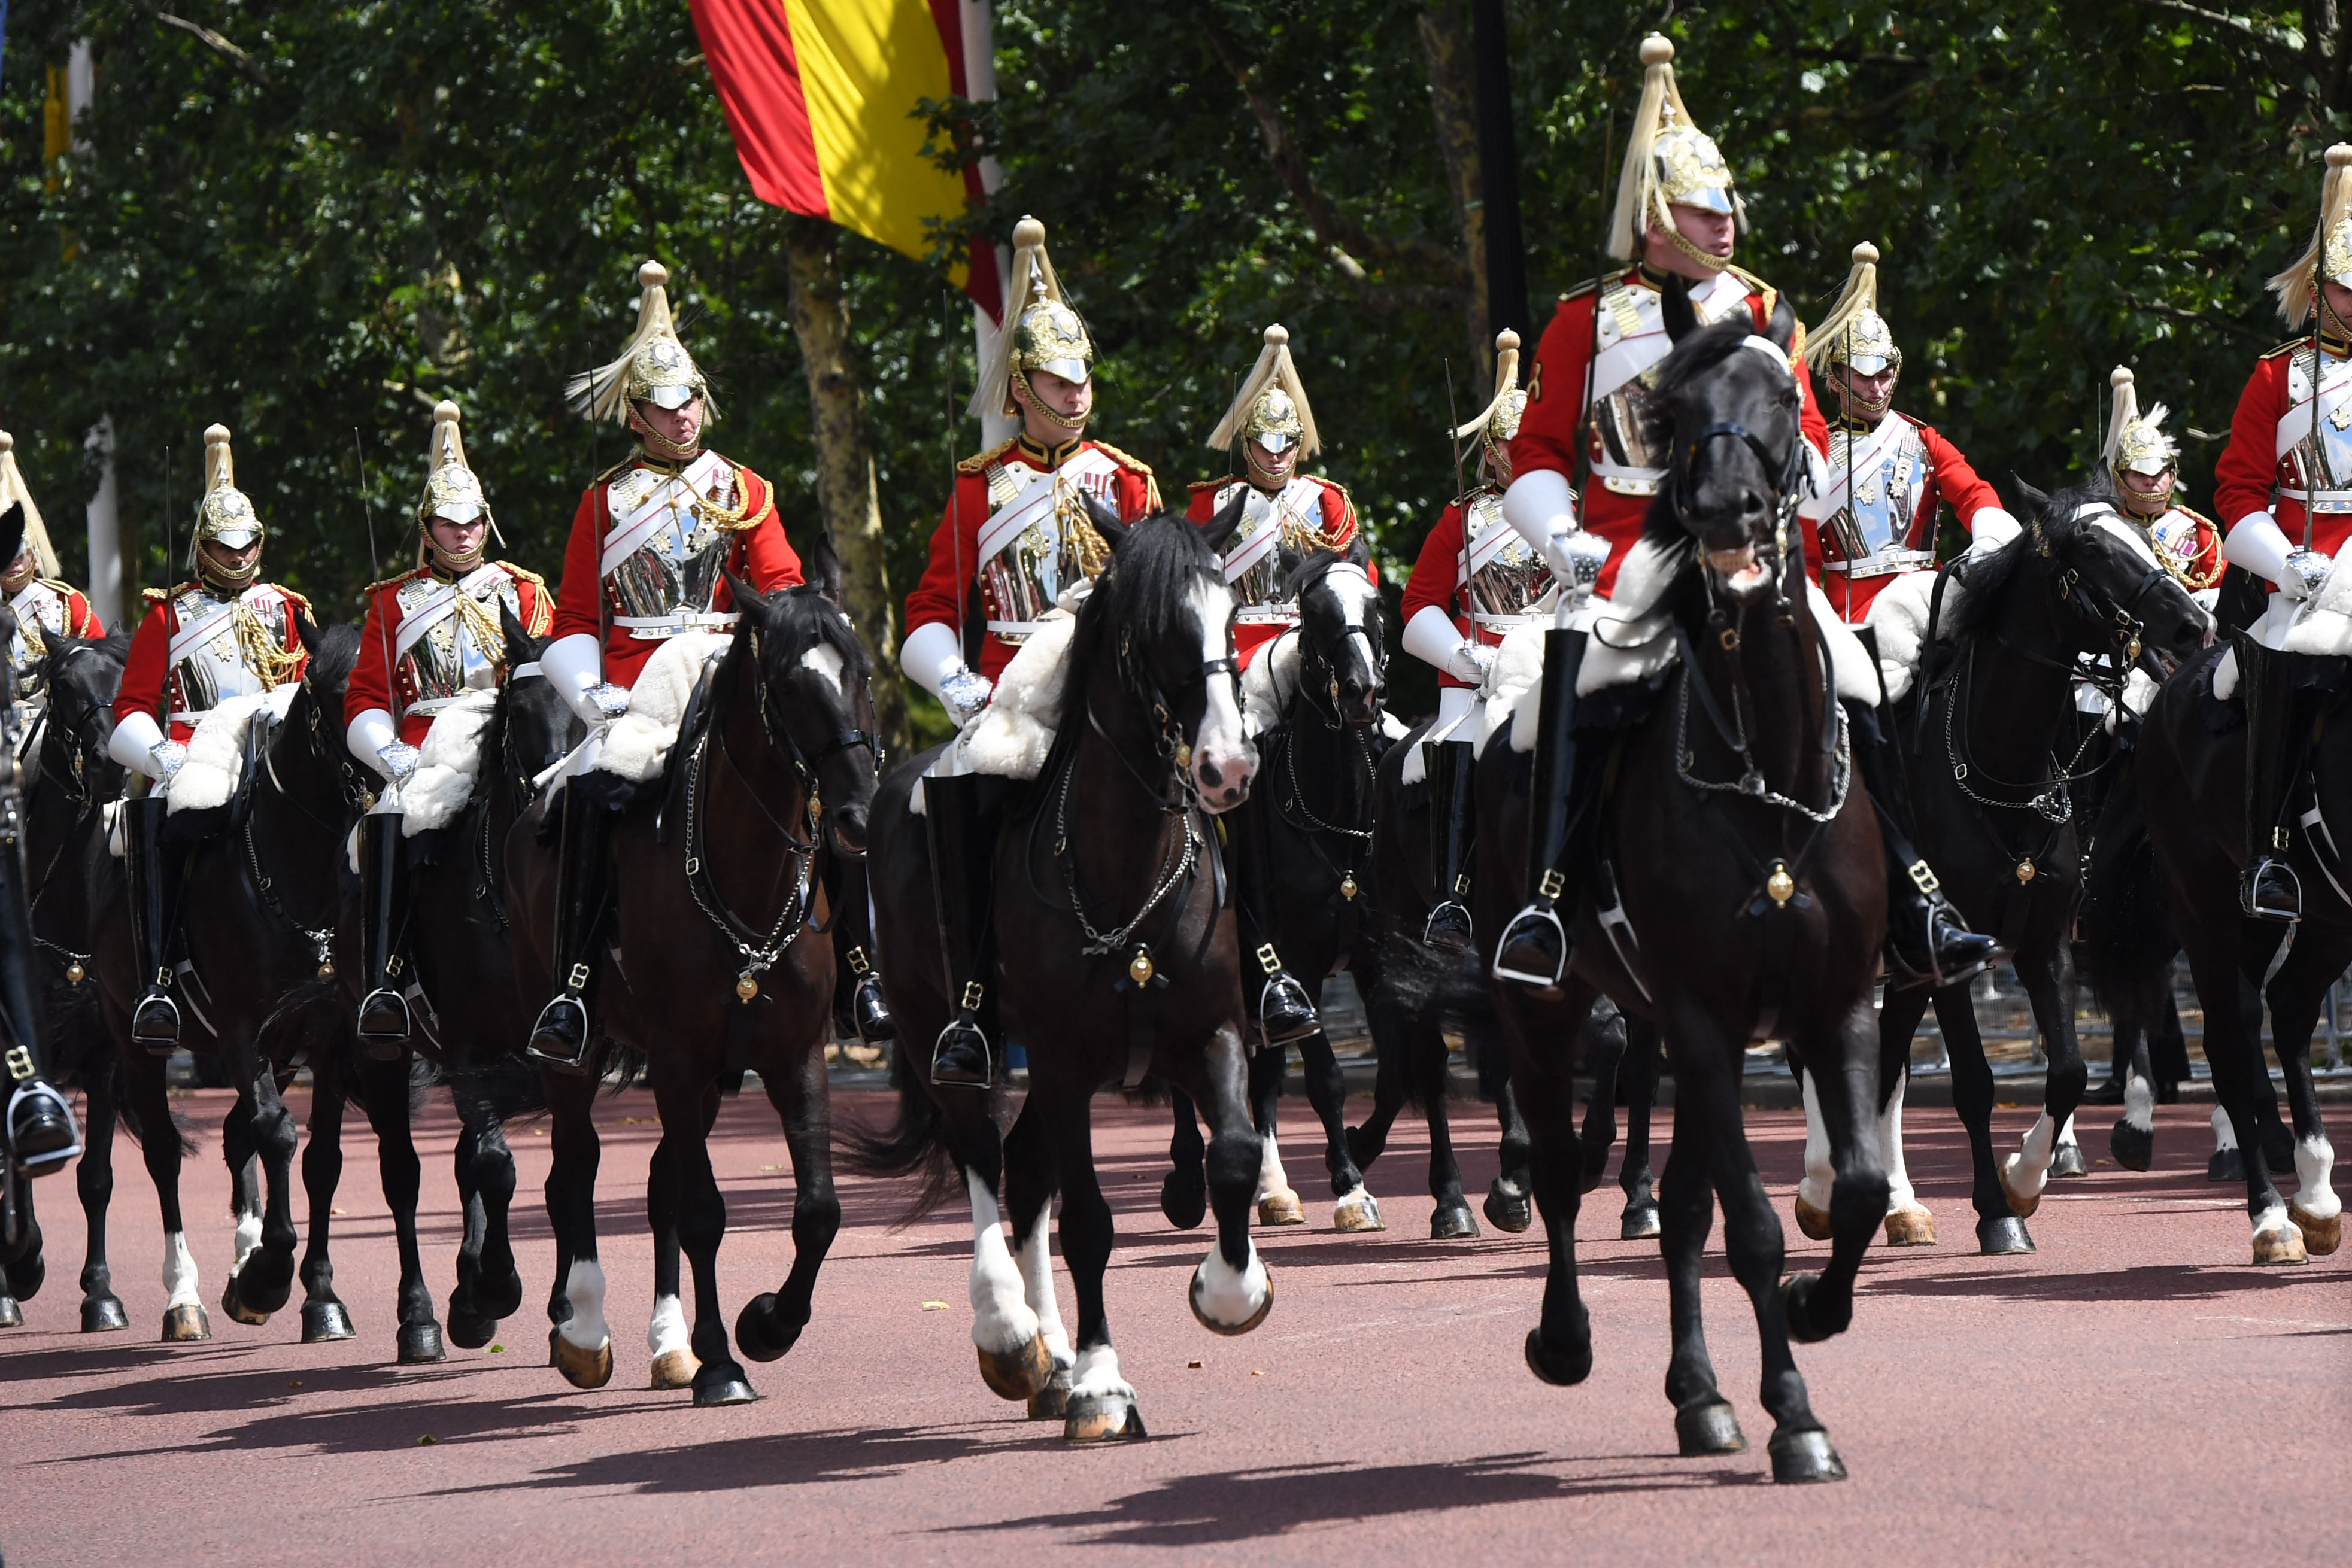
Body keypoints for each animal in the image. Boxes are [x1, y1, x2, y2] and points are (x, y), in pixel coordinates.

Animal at [510, 573, 879, 1401]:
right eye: (789, 685)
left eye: (863, 673)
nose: (855, 815)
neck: (742, 877)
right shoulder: (678, 1058)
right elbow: (706, 1212)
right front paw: (721, 1360)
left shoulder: (793, 1056)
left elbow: (817, 1210)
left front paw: (766, 1325)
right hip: (577, 1055)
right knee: (575, 1167)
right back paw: (583, 1330)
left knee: (656, 1183)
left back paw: (665, 1341)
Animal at [861, 505, 1270, 1448]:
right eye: (1153, 630)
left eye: (1233, 616)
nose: (1228, 768)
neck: (1125, 868)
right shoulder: (1058, 1063)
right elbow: (1087, 1220)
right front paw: (1101, 1385)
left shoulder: (1215, 1032)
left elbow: (1231, 1155)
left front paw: (1228, 1291)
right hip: (944, 1037)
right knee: (982, 1154)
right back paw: (1011, 1335)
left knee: (1022, 1166)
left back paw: (1045, 1359)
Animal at [1161, 545, 1392, 1232]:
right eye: (1313, 614)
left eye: (1375, 604)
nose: (1365, 691)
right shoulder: (1301, 959)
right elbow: (1325, 1078)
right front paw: (1349, 1189)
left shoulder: (1372, 958)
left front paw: (1353, 1159)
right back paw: (1188, 1181)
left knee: (1258, 1073)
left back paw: (1272, 1187)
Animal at [1477, 291, 1881, 1485]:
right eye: (1670, 413)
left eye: (1784, 399)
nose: (1720, 513)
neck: (1765, 770)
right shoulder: (1702, 1019)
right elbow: (1751, 1224)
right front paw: (1796, 1416)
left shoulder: (1833, 1006)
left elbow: (1852, 1188)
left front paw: (1812, 1311)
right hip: (1544, 1007)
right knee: (1563, 1177)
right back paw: (1565, 1341)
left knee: (1682, 1211)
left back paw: (1698, 1397)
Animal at [1806, 484, 2211, 1260]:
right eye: (2096, 551)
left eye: (2146, 542)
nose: (2192, 625)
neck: (2002, 766)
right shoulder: (1960, 958)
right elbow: (1972, 1080)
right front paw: (1997, 1210)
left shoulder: (2044, 942)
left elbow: (2067, 1071)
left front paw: (2025, 1179)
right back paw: (1816, 1189)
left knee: (1887, 1065)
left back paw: (1897, 1203)